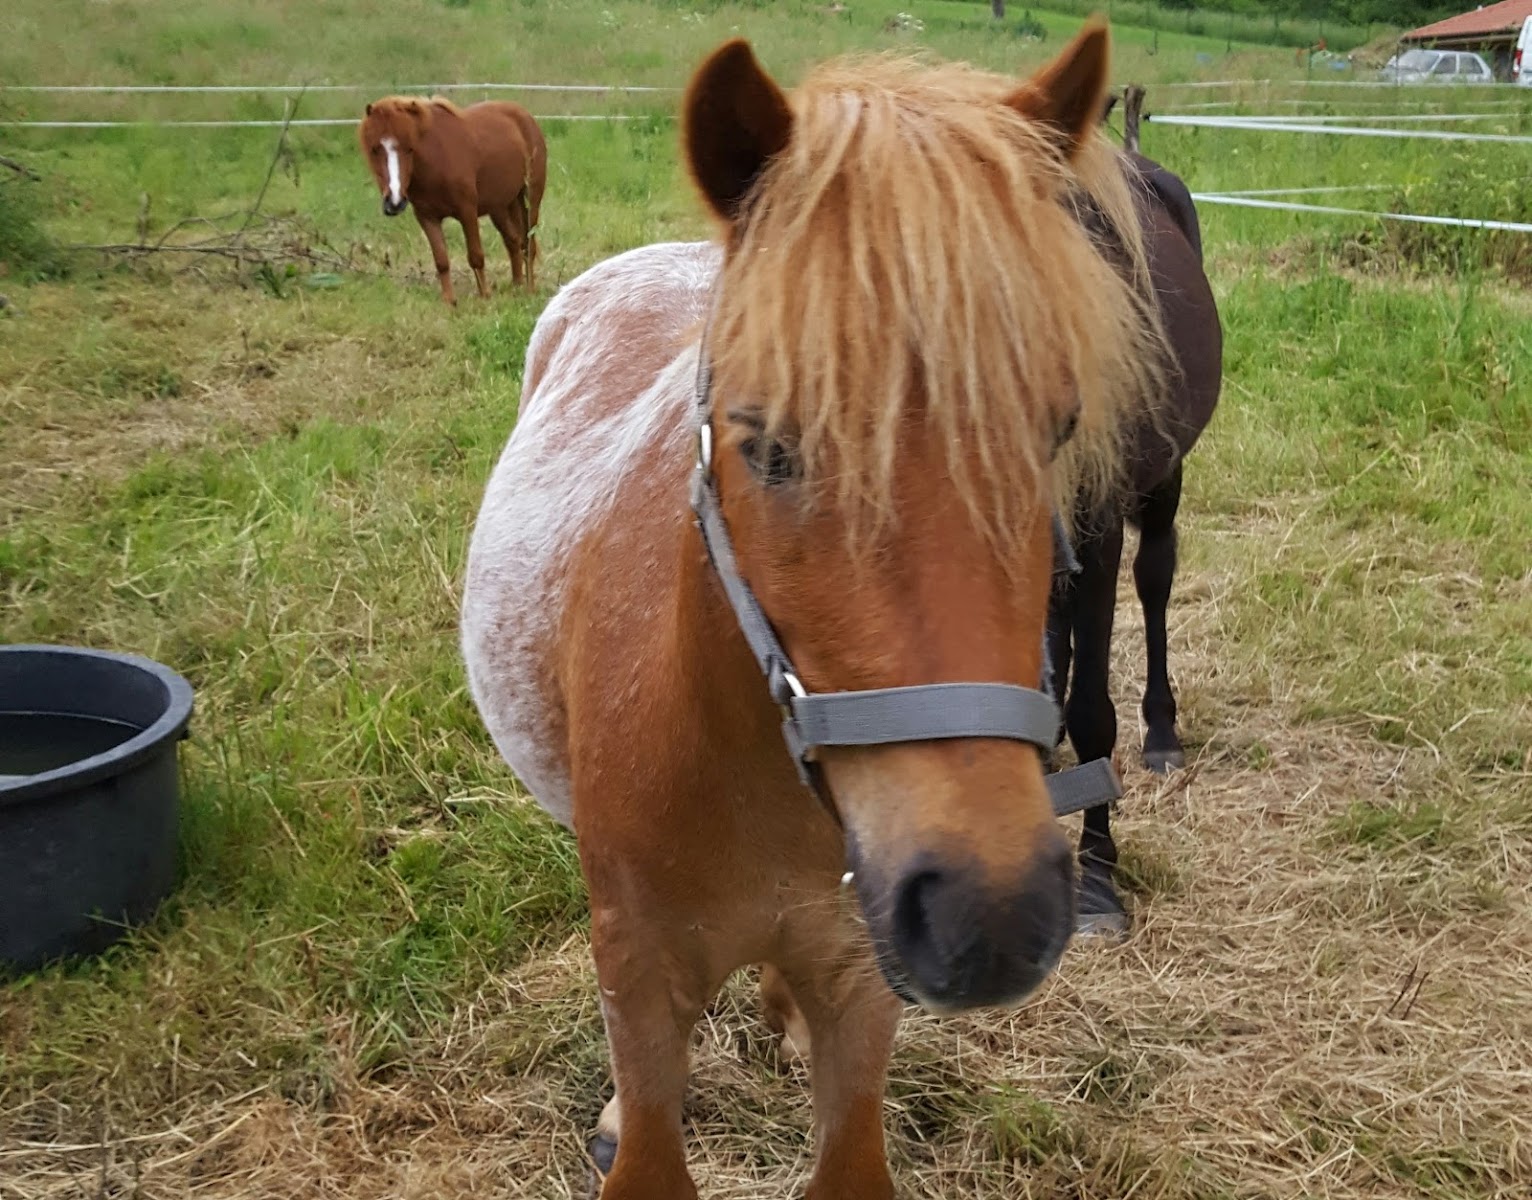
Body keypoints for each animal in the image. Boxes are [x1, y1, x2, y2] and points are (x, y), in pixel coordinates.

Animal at [357, 96, 546, 304]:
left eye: (409, 149)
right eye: (375, 149)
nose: (395, 202)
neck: (436, 162)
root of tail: (523, 115)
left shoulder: (467, 211)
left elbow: (476, 256)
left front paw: (485, 297)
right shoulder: (427, 217)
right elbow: (441, 261)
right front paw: (450, 302)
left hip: (530, 199)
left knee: (528, 244)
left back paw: (529, 289)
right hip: (501, 206)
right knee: (513, 241)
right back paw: (517, 286)